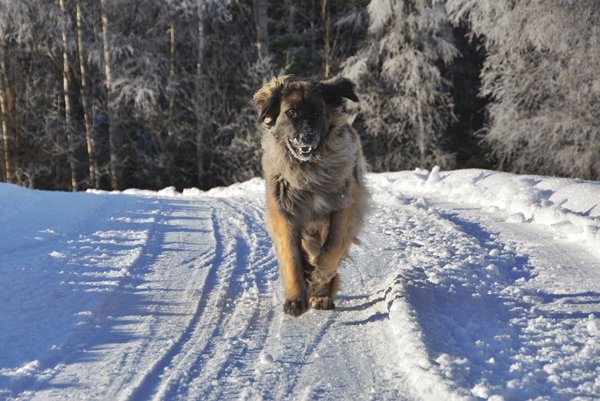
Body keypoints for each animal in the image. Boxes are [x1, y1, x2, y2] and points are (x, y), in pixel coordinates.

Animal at [254, 76, 370, 316]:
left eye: (317, 112)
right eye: (291, 112)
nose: (307, 137)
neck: (308, 170)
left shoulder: (343, 206)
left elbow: (332, 247)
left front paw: (319, 276)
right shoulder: (285, 214)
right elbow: (292, 257)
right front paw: (296, 299)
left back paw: (322, 294)